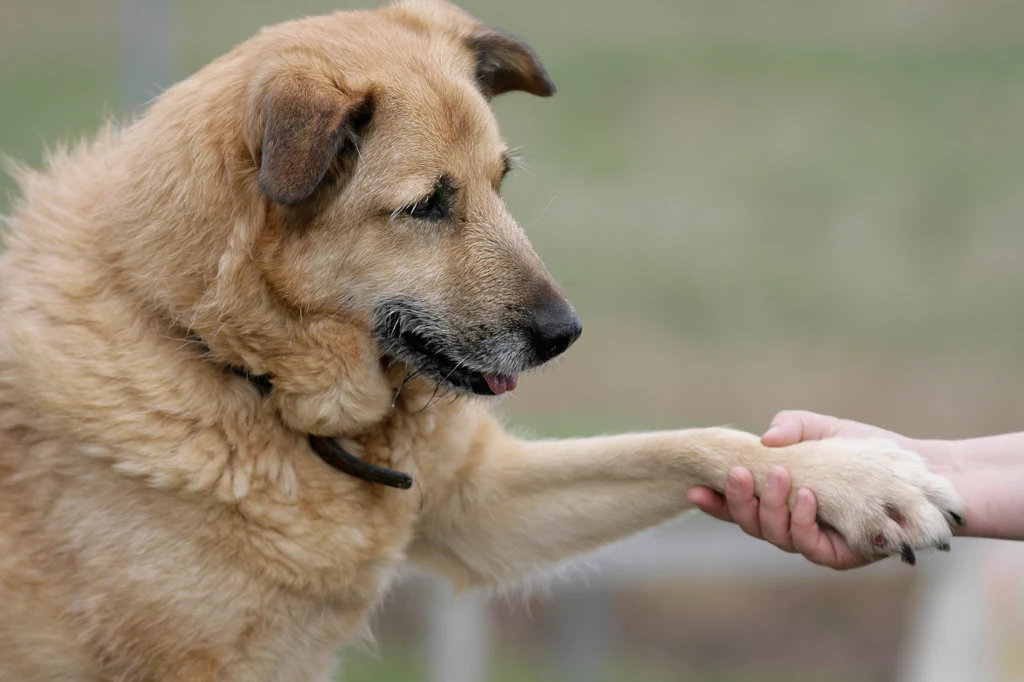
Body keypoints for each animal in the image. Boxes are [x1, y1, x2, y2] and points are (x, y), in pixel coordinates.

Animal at [0, 2, 958, 675]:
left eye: (502, 180)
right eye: (428, 204)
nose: (567, 335)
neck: (235, 369)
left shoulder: (482, 507)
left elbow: (690, 439)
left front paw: (847, 478)